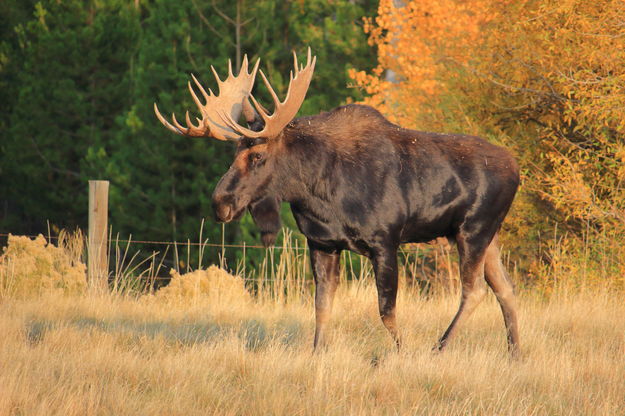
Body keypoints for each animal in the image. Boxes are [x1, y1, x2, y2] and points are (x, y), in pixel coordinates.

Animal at [154, 48, 520, 354]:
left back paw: (439, 348)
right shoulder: (322, 243)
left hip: (473, 228)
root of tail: (517, 167)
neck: (317, 194)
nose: (220, 203)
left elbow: (386, 310)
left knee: (475, 290)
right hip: (487, 235)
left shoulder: (385, 240)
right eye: (233, 154)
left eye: (257, 156)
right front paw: (317, 354)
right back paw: (515, 354)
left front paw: (402, 353)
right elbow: (322, 307)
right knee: (505, 288)